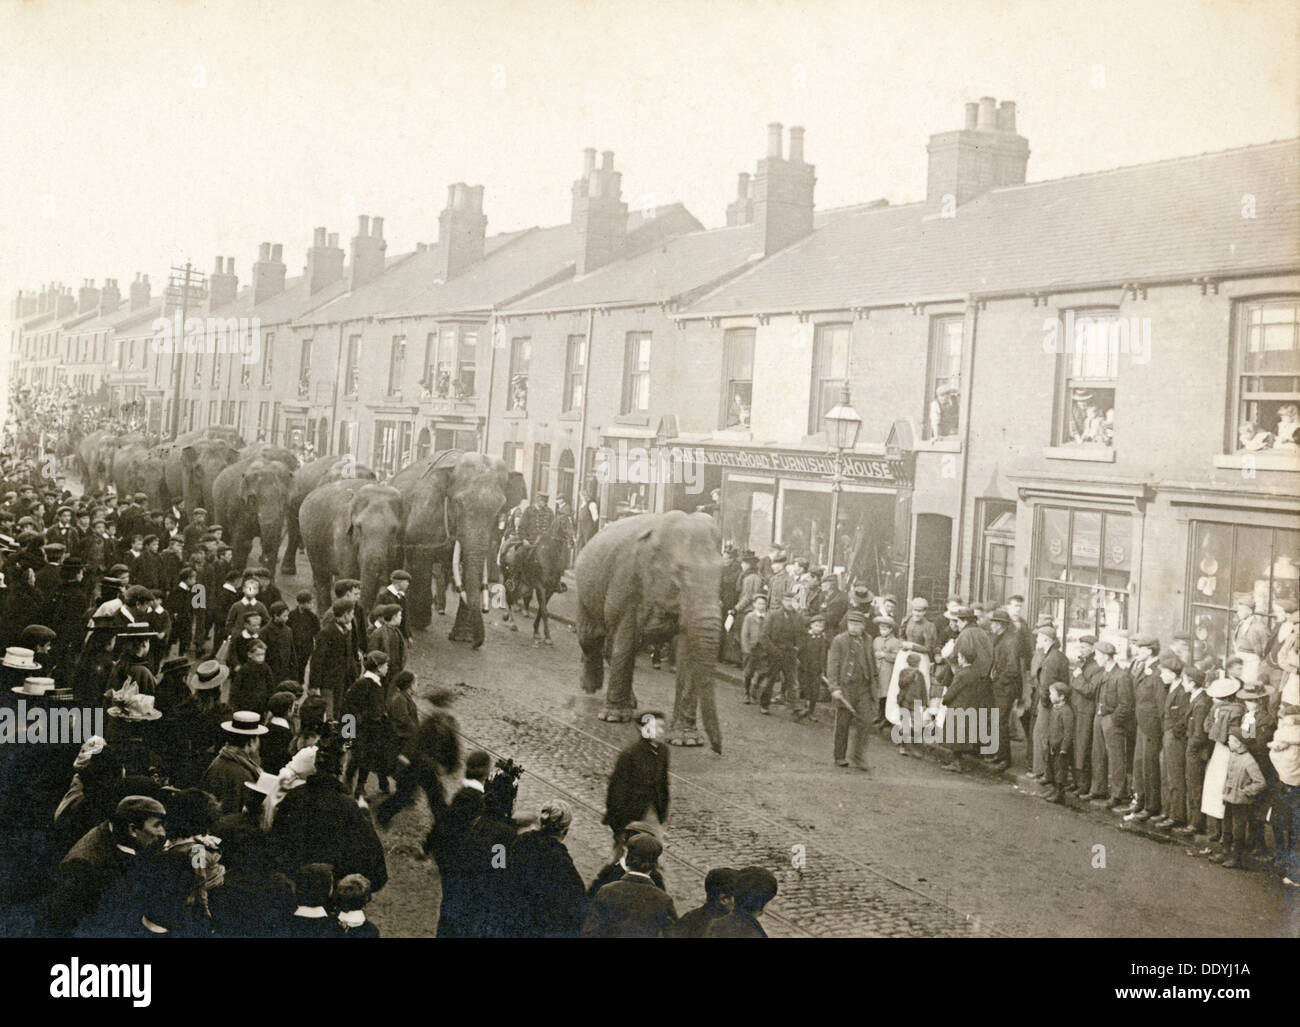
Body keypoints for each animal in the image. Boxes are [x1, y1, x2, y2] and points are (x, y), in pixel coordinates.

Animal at [297, 480, 403, 616]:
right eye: (359, 527)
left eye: (394, 530)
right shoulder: (343, 536)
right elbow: (351, 577)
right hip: (309, 539)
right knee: (321, 576)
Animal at [387, 449, 530, 644]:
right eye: (459, 503)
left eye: (500, 509)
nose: (486, 609)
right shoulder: (424, 513)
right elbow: (420, 558)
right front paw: (420, 623)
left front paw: (463, 637)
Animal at [577, 509, 728, 754]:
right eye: (678, 573)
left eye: (721, 574)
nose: (718, 750)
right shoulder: (626, 580)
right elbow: (625, 638)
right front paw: (613, 718)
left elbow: (687, 652)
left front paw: (687, 740)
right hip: (586, 590)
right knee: (592, 638)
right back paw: (592, 688)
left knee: (614, 646)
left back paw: (629, 702)